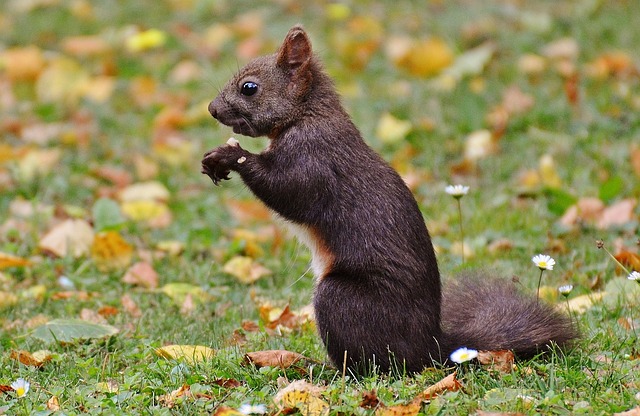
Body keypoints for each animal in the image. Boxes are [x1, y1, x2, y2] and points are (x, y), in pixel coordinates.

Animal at [202, 23, 576, 374]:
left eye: (249, 87)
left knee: (376, 365)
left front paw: (229, 155)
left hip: (343, 301)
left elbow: (287, 192)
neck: (307, 115)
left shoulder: (315, 158)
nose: (212, 109)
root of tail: (432, 346)